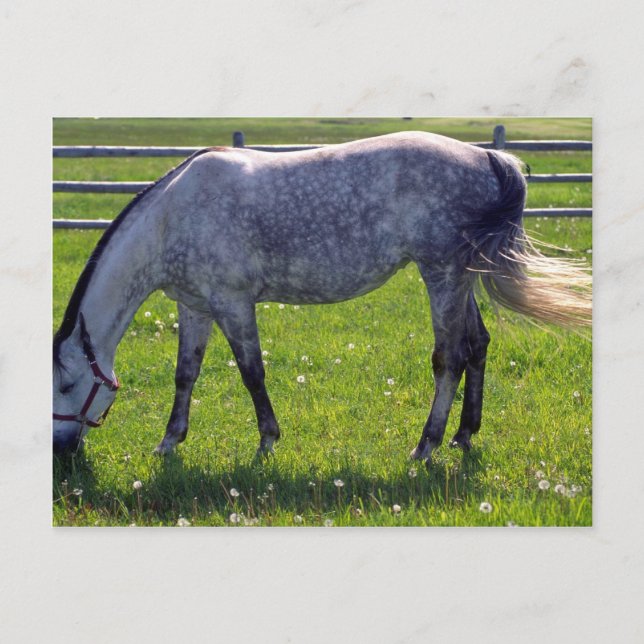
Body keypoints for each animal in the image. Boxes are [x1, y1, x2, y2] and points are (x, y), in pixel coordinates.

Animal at [53, 131, 591, 462]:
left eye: (65, 385)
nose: (62, 450)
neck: (172, 218)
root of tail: (488, 157)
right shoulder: (194, 305)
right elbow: (186, 374)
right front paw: (169, 442)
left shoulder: (233, 303)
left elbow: (251, 372)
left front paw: (267, 442)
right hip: (462, 276)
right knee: (477, 346)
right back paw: (463, 435)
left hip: (441, 274)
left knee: (450, 358)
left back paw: (426, 446)